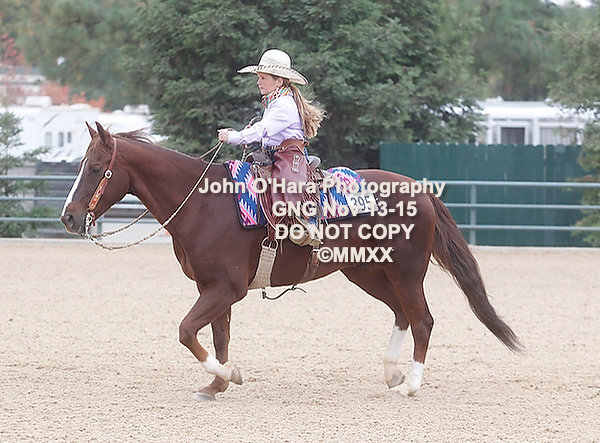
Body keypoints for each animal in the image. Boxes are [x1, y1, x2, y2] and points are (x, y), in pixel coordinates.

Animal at [61, 122, 521, 400]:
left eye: (97, 167)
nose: (68, 217)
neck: (202, 204)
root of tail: (421, 191)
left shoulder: (225, 288)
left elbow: (187, 331)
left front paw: (229, 376)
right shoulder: (211, 287)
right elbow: (218, 336)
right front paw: (216, 384)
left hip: (405, 272)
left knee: (422, 319)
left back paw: (409, 385)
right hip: (367, 272)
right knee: (402, 314)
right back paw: (391, 373)